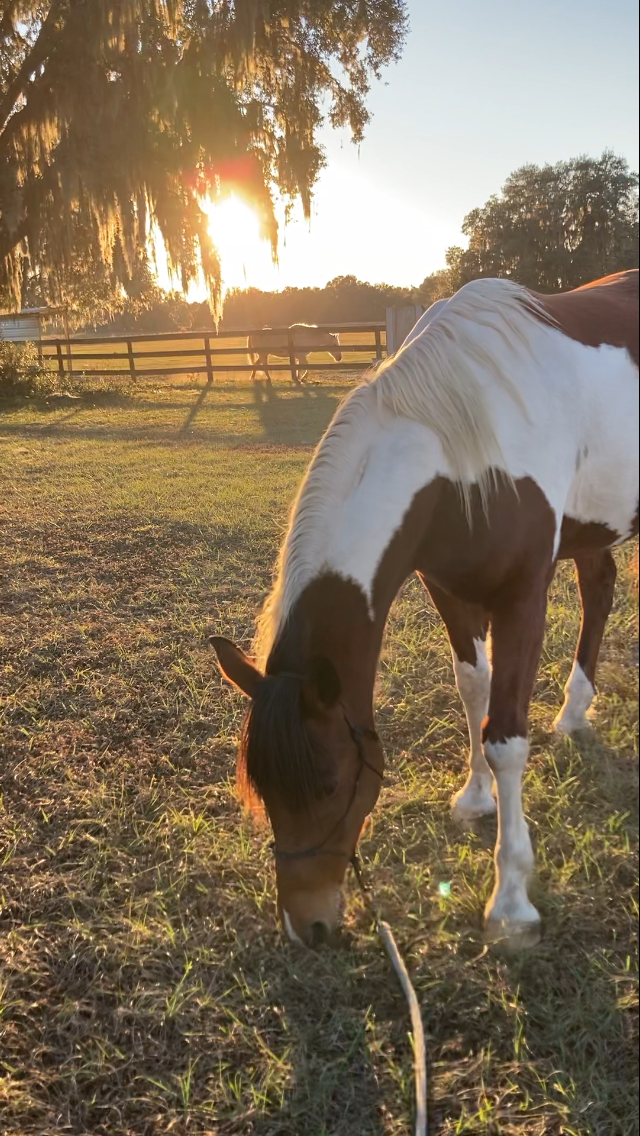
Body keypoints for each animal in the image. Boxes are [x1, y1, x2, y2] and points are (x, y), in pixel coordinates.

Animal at [212, 270, 639, 951]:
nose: (309, 926)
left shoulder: (523, 597)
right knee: (598, 588)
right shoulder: (449, 589)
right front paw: (475, 798)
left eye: (330, 784)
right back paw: (573, 713)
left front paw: (510, 900)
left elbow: (505, 736)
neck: (463, 450)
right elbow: (474, 690)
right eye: (262, 788)